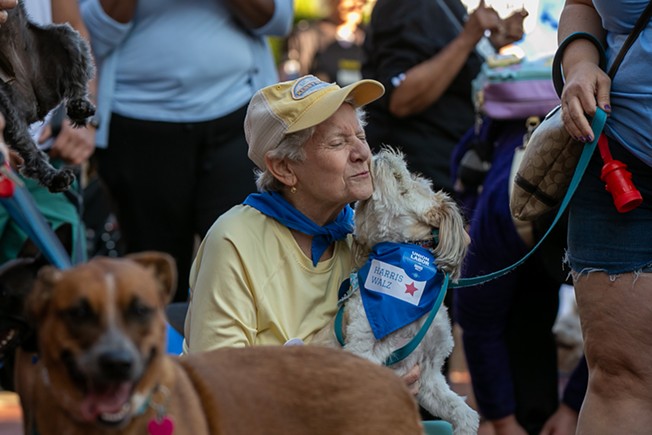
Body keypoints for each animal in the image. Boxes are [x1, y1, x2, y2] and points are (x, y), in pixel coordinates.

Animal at [0, 1, 95, 192]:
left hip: (64, 37)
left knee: (77, 82)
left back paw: (79, 107)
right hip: (6, 102)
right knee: (28, 148)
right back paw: (54, 177)